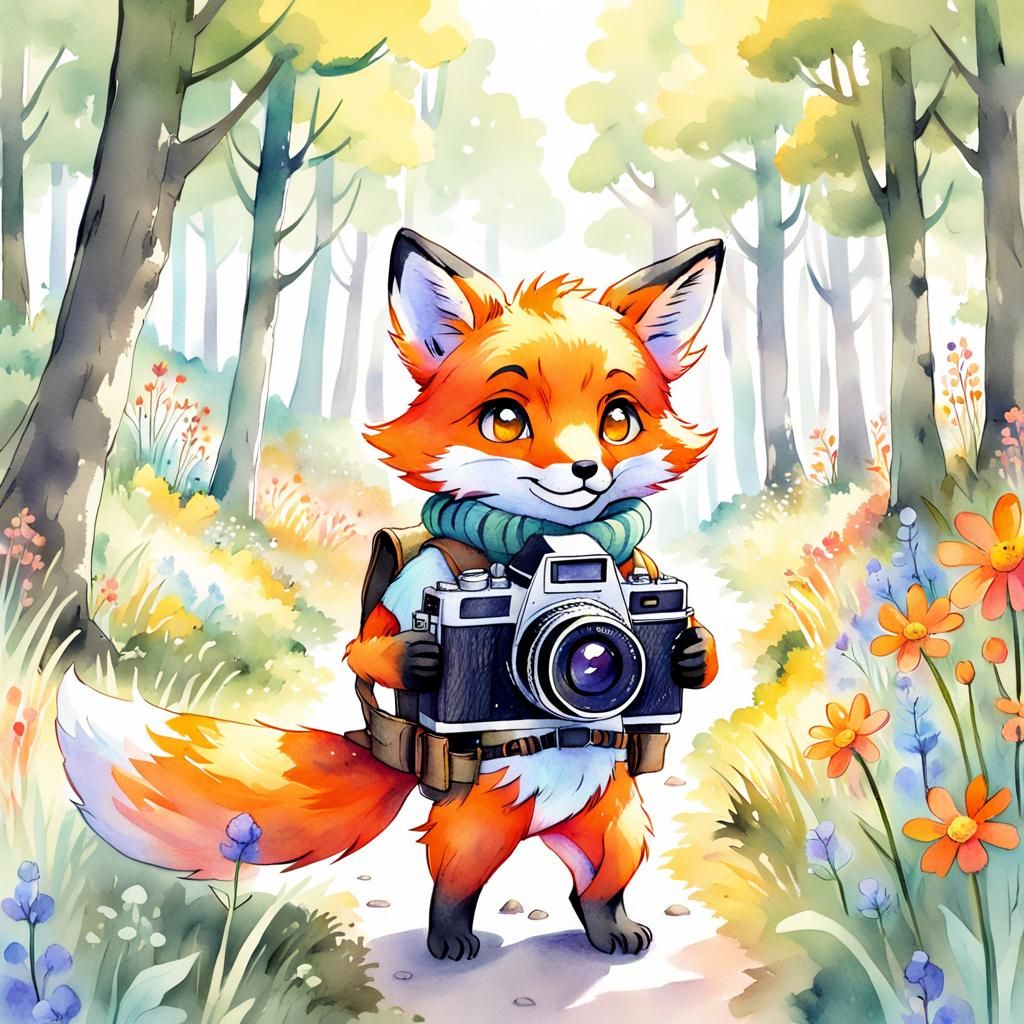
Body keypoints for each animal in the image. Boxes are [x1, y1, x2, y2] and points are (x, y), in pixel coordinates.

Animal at [56, 228, 724, 962]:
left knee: (600, 877)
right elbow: (365, 646)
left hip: (614, 815)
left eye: (619, 421)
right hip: (479, 816)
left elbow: (684, 640)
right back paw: (452, 935)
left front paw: (693, 652)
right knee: (458, 875)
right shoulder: (424, 584)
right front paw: (415, 660)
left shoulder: (642, 580)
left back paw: (613, 925)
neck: (547, 547)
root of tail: (545, 822)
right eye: (506, 420)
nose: (585, 469)